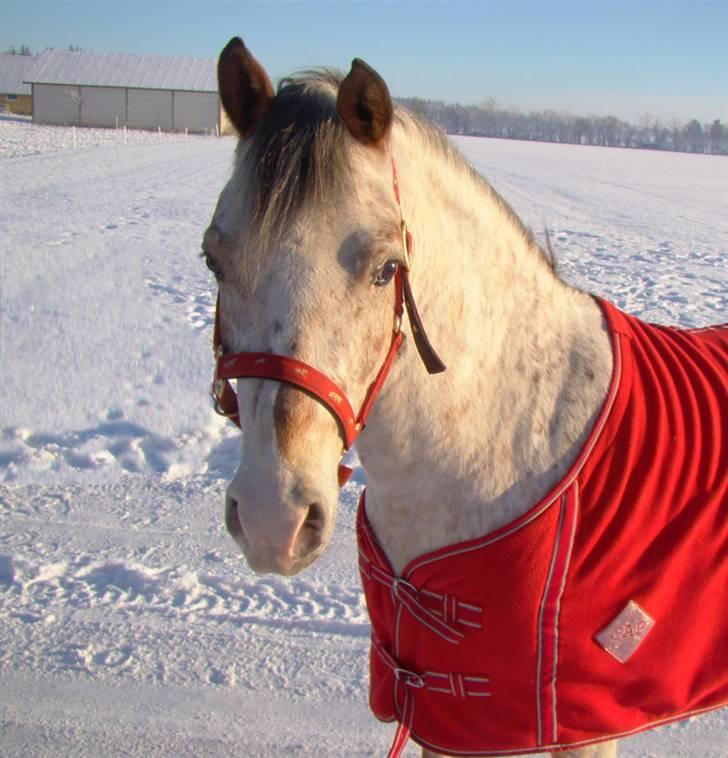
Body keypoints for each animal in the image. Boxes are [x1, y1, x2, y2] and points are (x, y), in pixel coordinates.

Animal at [203, 37, 728, 758]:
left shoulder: (583, 727)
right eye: (214, 261)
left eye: (387, 269)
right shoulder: (444, 720)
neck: (510, 435)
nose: (271, 518)